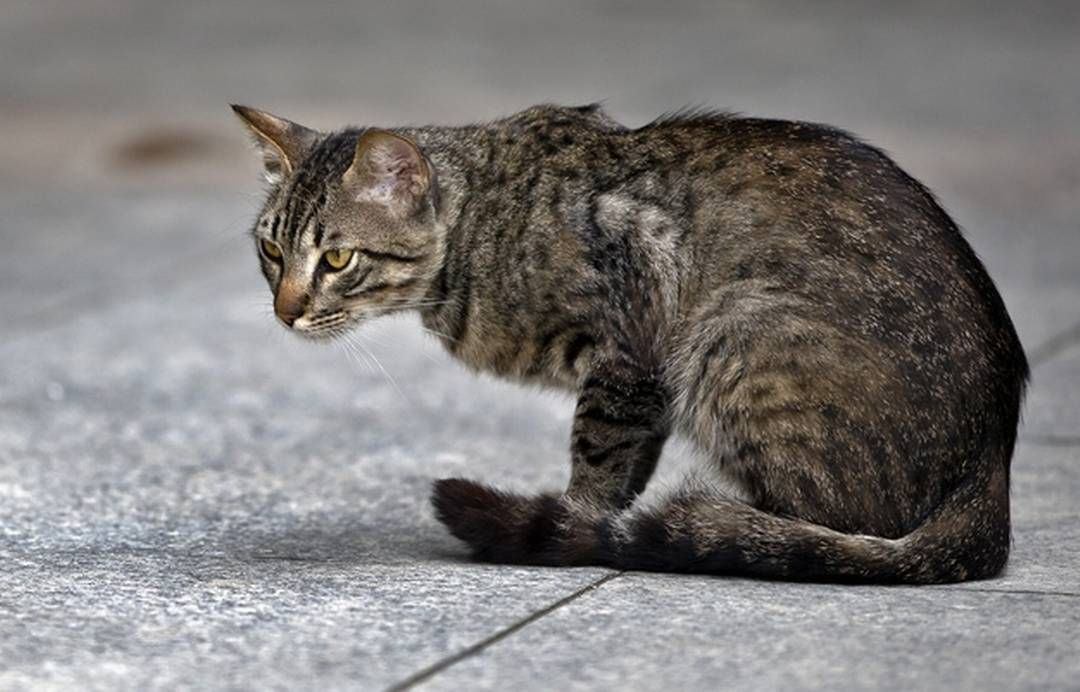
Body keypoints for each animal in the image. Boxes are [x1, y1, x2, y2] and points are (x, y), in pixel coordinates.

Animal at [234, 102, 1028, 582]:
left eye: (338, 259)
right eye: (271, 251)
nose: (286, 311)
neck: (482, 225)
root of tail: (992, 463)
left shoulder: (629, 355)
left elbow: (598, 458)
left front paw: (576, 524)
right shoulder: (642, 386)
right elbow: (628, 463)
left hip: (733, 335)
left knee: (840, 525)